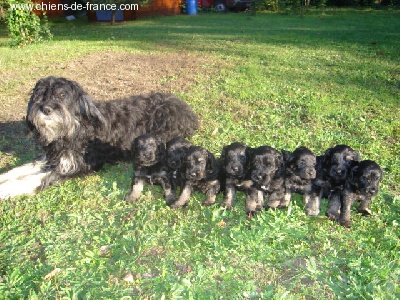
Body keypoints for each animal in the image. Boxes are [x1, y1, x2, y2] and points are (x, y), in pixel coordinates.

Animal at [0, 76, 198, 198]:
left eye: (62, 94)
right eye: (40, 94)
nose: (45, 109)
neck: (75, 128)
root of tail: (187, 110)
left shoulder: (76, 165)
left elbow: (36, 178)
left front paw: (6, 189)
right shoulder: (53, 157)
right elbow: (22, 169)